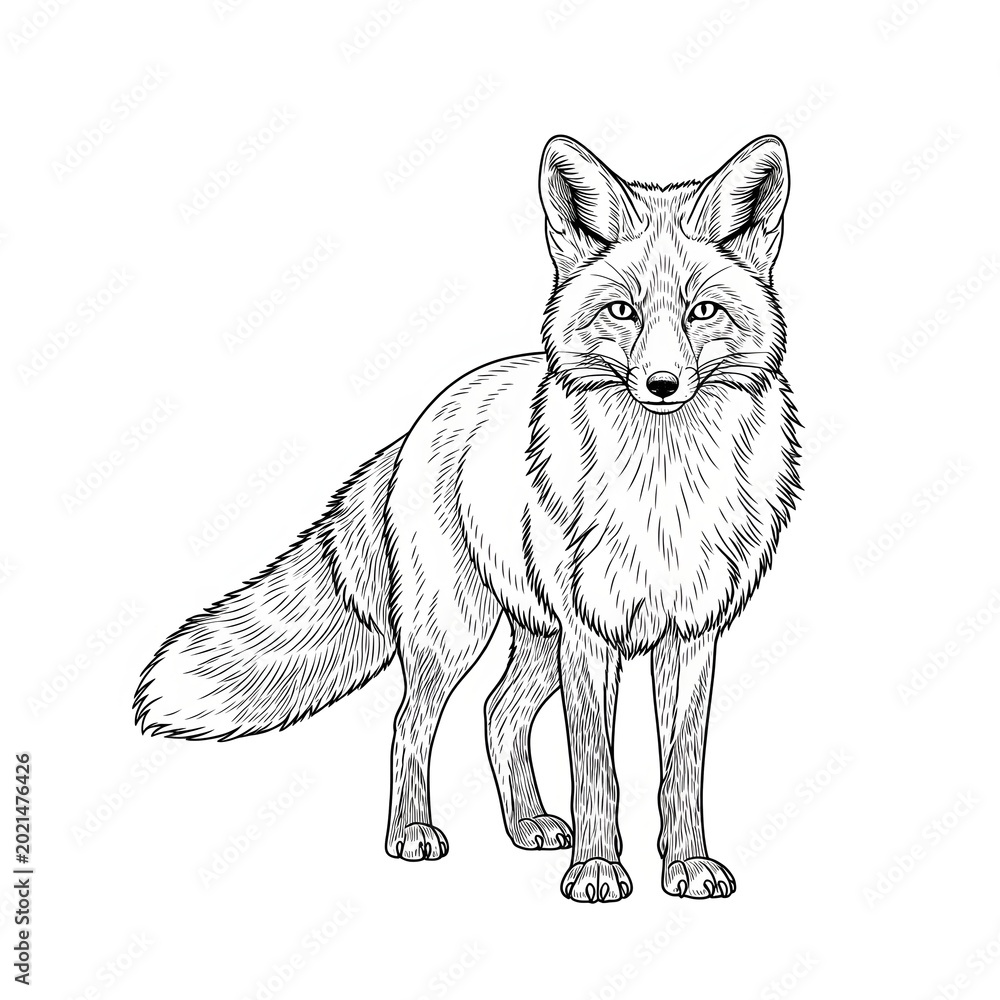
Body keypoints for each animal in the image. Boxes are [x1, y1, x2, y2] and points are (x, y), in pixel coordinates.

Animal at [135, 133, 800, 903]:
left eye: (703, 312)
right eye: (622, 312)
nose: (661, 384)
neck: (663, 494)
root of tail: (421, 421)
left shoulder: (691, 635)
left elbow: (682, 770)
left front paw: (687, 865)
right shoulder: (591, 637)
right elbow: (596, 772)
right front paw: (597, 870)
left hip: (536, 637)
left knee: (498, 713)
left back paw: (527, 825)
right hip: (457, 632)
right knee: (411, 722)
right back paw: (412, 833)